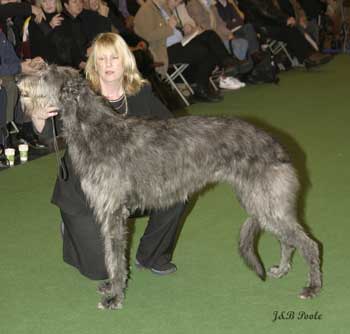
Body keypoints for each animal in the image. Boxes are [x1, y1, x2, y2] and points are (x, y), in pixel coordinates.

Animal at [17, 66, 322, 310]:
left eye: (45, 75)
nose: (19, 78)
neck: (94, 130)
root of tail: (277, 144)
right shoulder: (108, 211)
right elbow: (109, 254)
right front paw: (112, 286)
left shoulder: (113, 211)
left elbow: (114, 256)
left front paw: (115, 296)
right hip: (260, 202)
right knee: (287, 239)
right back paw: (282, 269)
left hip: (266, 202)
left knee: (308, 243)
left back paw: (312, 287)